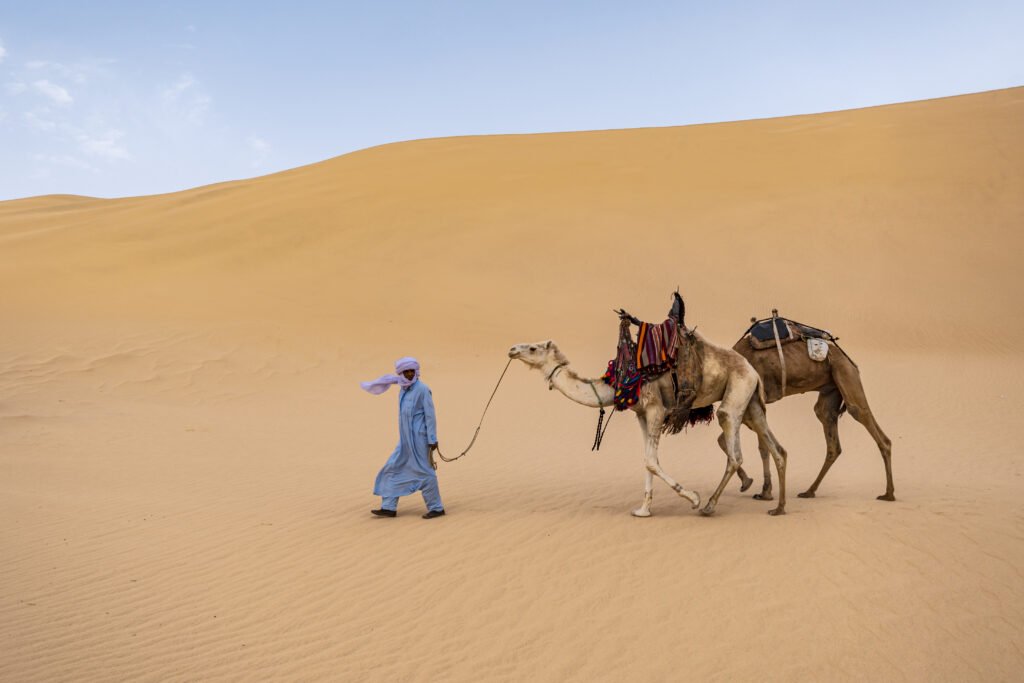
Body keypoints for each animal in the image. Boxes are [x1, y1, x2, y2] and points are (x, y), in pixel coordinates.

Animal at [507, 333, 786, 516]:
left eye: (533, 348)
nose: (512, 349)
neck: (618, 381)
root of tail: (752, 369)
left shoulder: (655, 409)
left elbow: (651, 461)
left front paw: (693, 497)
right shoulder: (641, 413)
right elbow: (648, 460)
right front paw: (643, 509)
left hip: (737, 390)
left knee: (733, 445)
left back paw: (708, 505)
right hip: (750, 399)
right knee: (776, 448)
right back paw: (778, 506)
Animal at [733, 325, 892, 501]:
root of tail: (849, 361)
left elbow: (757, 445)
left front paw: (758, 489)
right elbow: (758, 446)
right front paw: (762, 490)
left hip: (846, 373)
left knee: (862, 415)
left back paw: (888, 494)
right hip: (831, 390)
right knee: (830, 435)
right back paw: (809, 491)